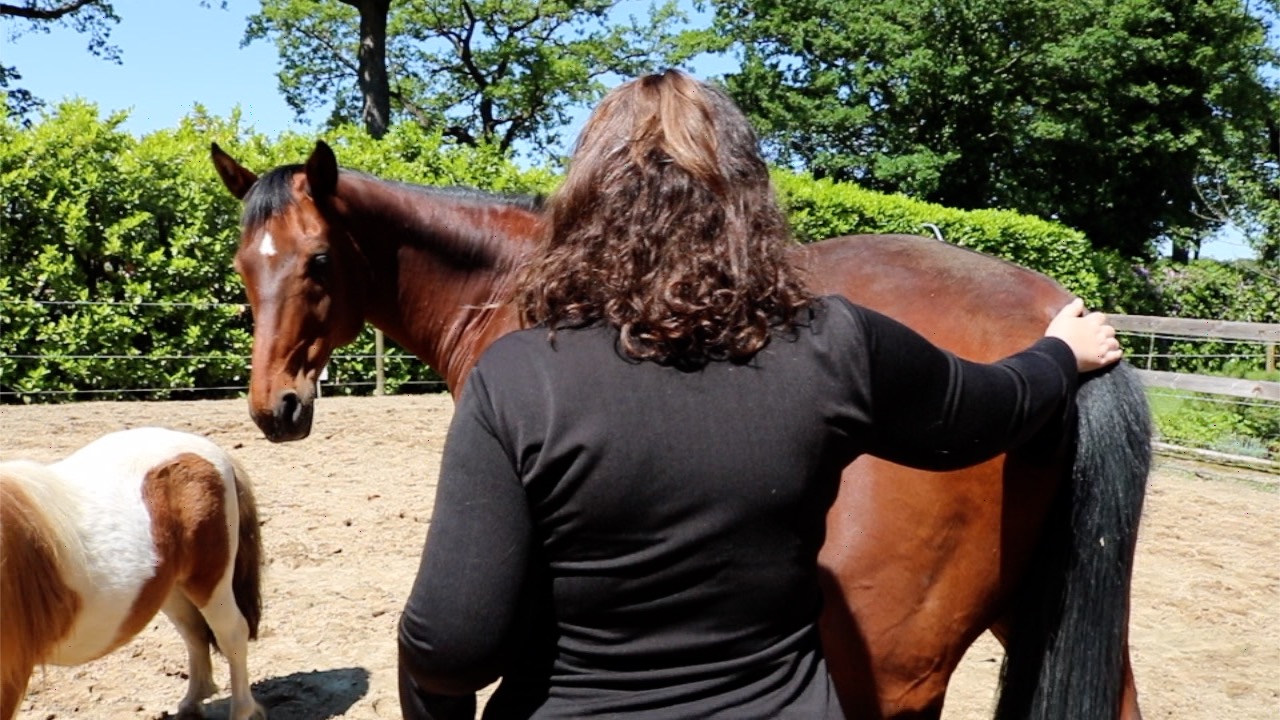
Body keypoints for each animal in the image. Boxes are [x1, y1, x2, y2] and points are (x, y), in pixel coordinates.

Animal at [0, 425, 264, 717]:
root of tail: (212, 451)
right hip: (171, 587)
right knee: (194, 632)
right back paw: (191, 703)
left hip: (210, 581)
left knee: (232, 633)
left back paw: (241, 711)